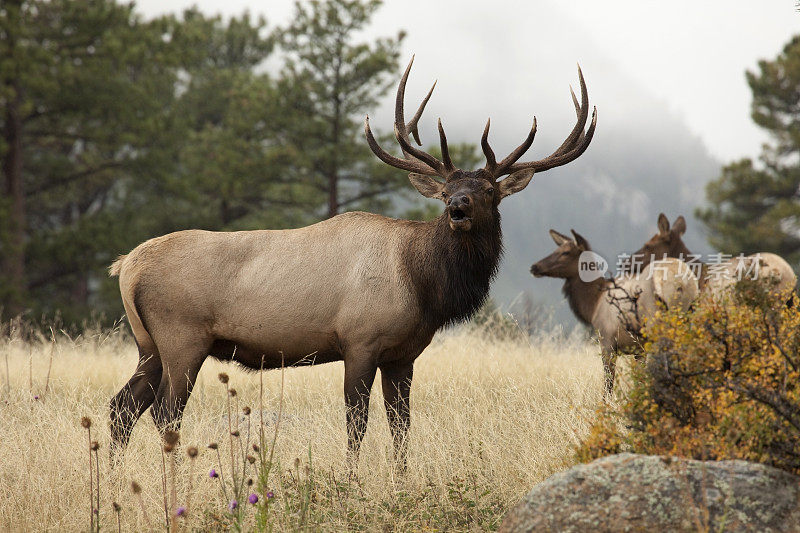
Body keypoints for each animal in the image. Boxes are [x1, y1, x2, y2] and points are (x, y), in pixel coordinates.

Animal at [108, 57, 592, 466]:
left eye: (489, 190)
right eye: (445, 190)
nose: (458, 208)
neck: (423, 285)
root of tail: (126, 266)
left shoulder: (403, 355)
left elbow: (401, 427)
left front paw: (401, 480)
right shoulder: (360, 340)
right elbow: (356, 424)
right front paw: (351, 480)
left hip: (149, 344)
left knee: (122, 407)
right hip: (183, 337)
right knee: (164, 412)